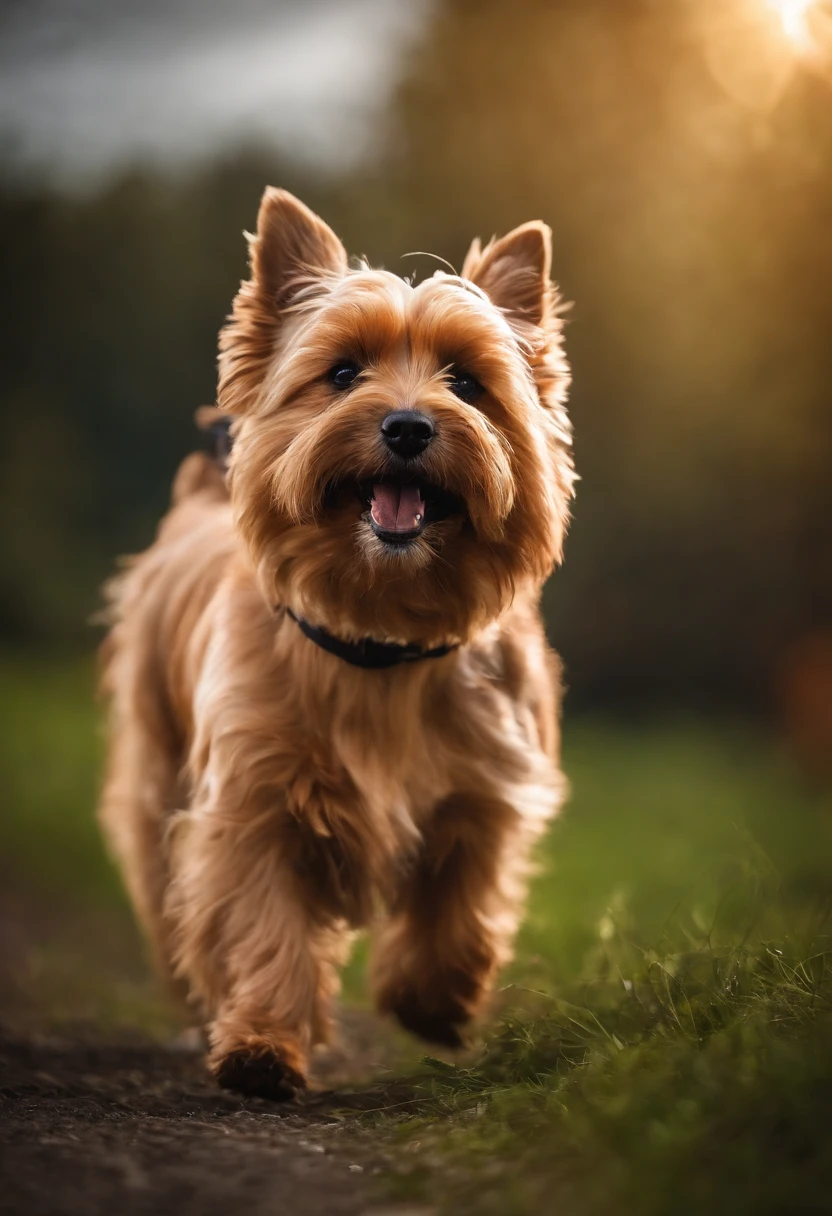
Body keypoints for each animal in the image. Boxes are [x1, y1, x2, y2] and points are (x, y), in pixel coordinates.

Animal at [97, 187, 574, 1104]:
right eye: (344, 373)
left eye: (468, 382)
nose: (408, 426)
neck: (383, 632)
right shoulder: (254, 801)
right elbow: (263, 925)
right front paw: (261, 1046)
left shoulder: (488, 787)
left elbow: (460, 899)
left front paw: (434, 1001)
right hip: (156, 765)